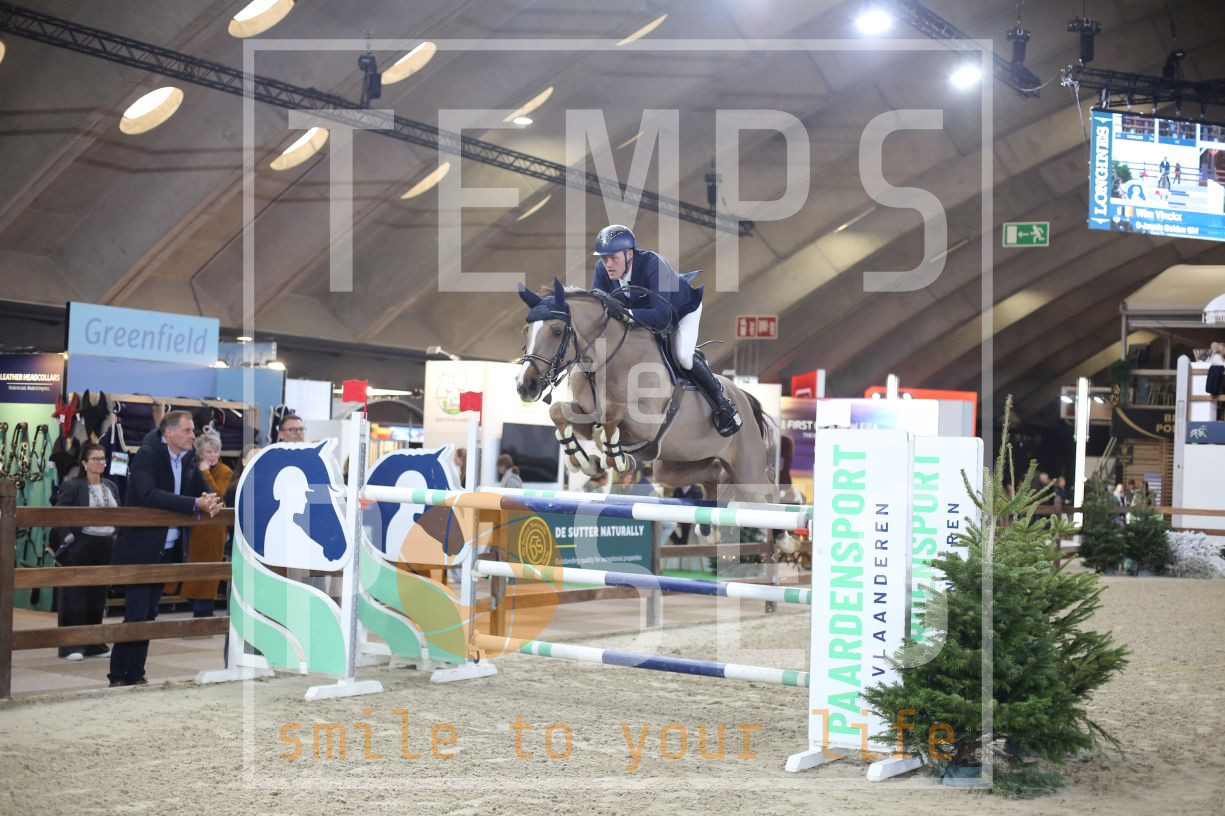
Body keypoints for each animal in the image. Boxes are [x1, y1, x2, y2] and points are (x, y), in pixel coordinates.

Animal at [515, 278, 778, 504]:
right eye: (526, 330)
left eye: (557, 331)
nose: (525, 386)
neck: (605, 362)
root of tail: (744, 396)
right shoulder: (586, 414)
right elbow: (559, 411)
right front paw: (587, 460)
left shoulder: (648, 423)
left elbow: (611, 415)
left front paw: (617, 458)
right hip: (677, 465)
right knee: (712, 473)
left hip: (748, 472)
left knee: (767, 486)